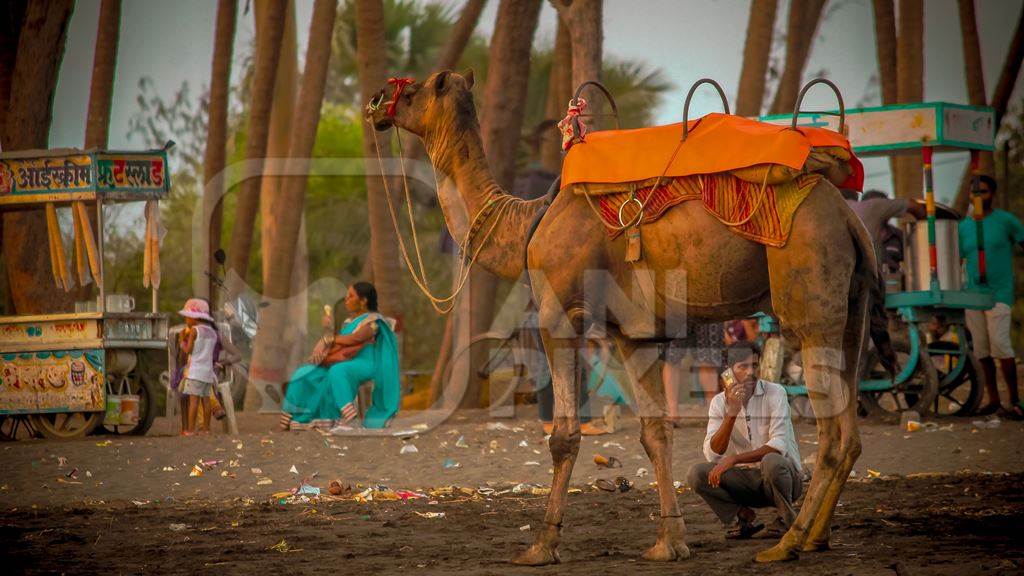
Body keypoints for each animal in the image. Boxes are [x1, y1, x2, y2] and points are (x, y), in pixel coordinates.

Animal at [368, 70, 880, 561]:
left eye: (414, 89)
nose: (375, 101)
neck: (527, 224)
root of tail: (849, 217)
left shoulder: (558, 314)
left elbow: (564, 436)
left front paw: (542, 545)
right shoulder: (634, 334)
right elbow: (655, 433)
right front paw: (669, 543)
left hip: (810, 291)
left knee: (830, 432)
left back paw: (786, 545)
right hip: (851, 308)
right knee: (851, 431)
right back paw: (815, 538)